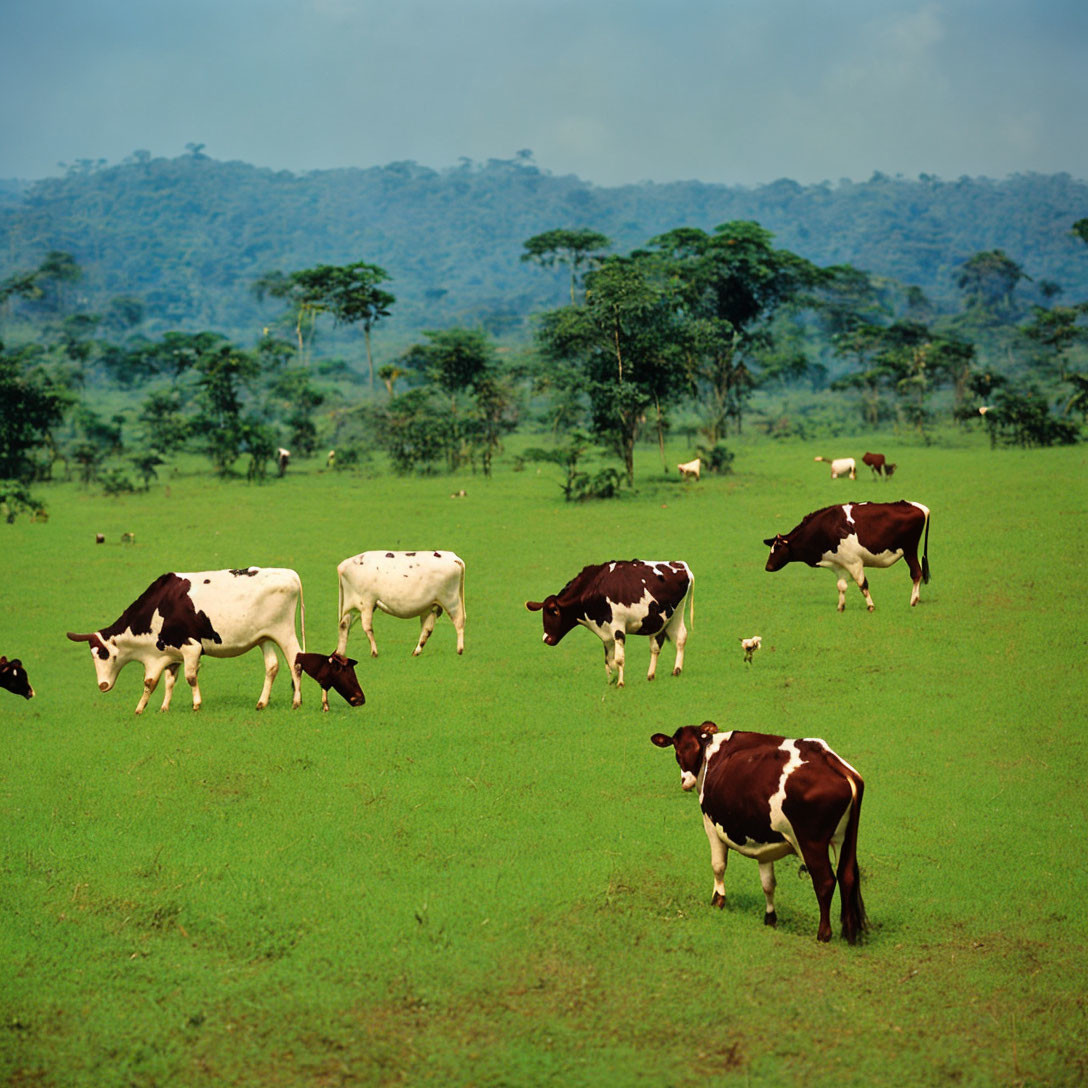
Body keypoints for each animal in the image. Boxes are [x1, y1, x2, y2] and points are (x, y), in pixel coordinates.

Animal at [66, 570, 306, 713]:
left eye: (104, 654)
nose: (102, 685)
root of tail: (289, 573)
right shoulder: (167, 653)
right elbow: (160, 682)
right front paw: (152, 707)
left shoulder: (191, 647)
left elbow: (190, 677)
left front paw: (196, 704)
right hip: (265, 637)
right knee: (272, 666)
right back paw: (262, 702)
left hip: (284, 633)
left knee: (296, 661)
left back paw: (296, 701)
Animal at [332, 548, 465, 657]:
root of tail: (455, 558)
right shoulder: (353, 606)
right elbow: (344, 626)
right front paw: (340, 653)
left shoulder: (367, 602)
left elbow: (367, 627)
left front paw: (374, 653)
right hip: (432, 606)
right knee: (427, 629)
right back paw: (416, 652)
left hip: (451, 600)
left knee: (459, 621)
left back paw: (460, 650)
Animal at [522, 561, 691, 687]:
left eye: (554, 612)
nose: (546, 639)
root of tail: (680, 565)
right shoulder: (606, 633)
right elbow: (609, 661)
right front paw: (611, 681)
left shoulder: (618, 628)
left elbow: (619, 659)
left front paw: (620, 683)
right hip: (660, 621)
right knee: (656, 646)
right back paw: (651, 675)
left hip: (678, 613)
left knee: (681, 637)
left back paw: (677, 670)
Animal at [644, 718, 866, 940]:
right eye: (677, 749)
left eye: (694, 748)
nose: (686, 782)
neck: (712, 755)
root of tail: (831, 760)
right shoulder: (764, 842)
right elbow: (768, 883)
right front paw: (770, 918)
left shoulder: (710, 823)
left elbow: (718, 865)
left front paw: (718, 900)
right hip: (846, 839)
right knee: (847, 877)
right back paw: (849, 934)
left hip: (812, 843)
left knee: (825, 882)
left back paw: (823, 933)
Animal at [761, 500, 931, 613]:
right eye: (771, 548)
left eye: (778, 548)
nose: (768, 567)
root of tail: (919, 507)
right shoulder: (840, 565)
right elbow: (841, 586)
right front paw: (841, 607)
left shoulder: (854, 562)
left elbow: (863, 584)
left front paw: (870, 606)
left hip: (909, 550)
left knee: (916, 573)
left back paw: (914, 600)